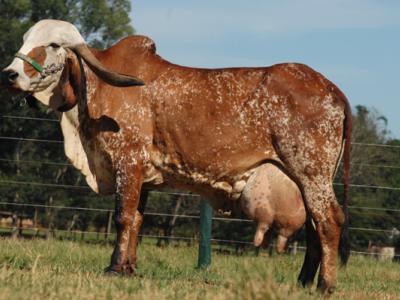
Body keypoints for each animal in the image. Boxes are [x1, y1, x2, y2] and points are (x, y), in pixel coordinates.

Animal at [0, 19, 350, 292]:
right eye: (24, 39)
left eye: (53, 44)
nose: (10, 74)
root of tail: (331, 88)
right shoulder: (142, 176)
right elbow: (137, 220)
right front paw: (129, 268)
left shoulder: (127, 161)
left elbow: (123, 217)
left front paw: (113, 268)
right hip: (308, 179)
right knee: (314, 226)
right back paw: (303, 282)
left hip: (311, 173)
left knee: (329, 221)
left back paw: (325, 285)